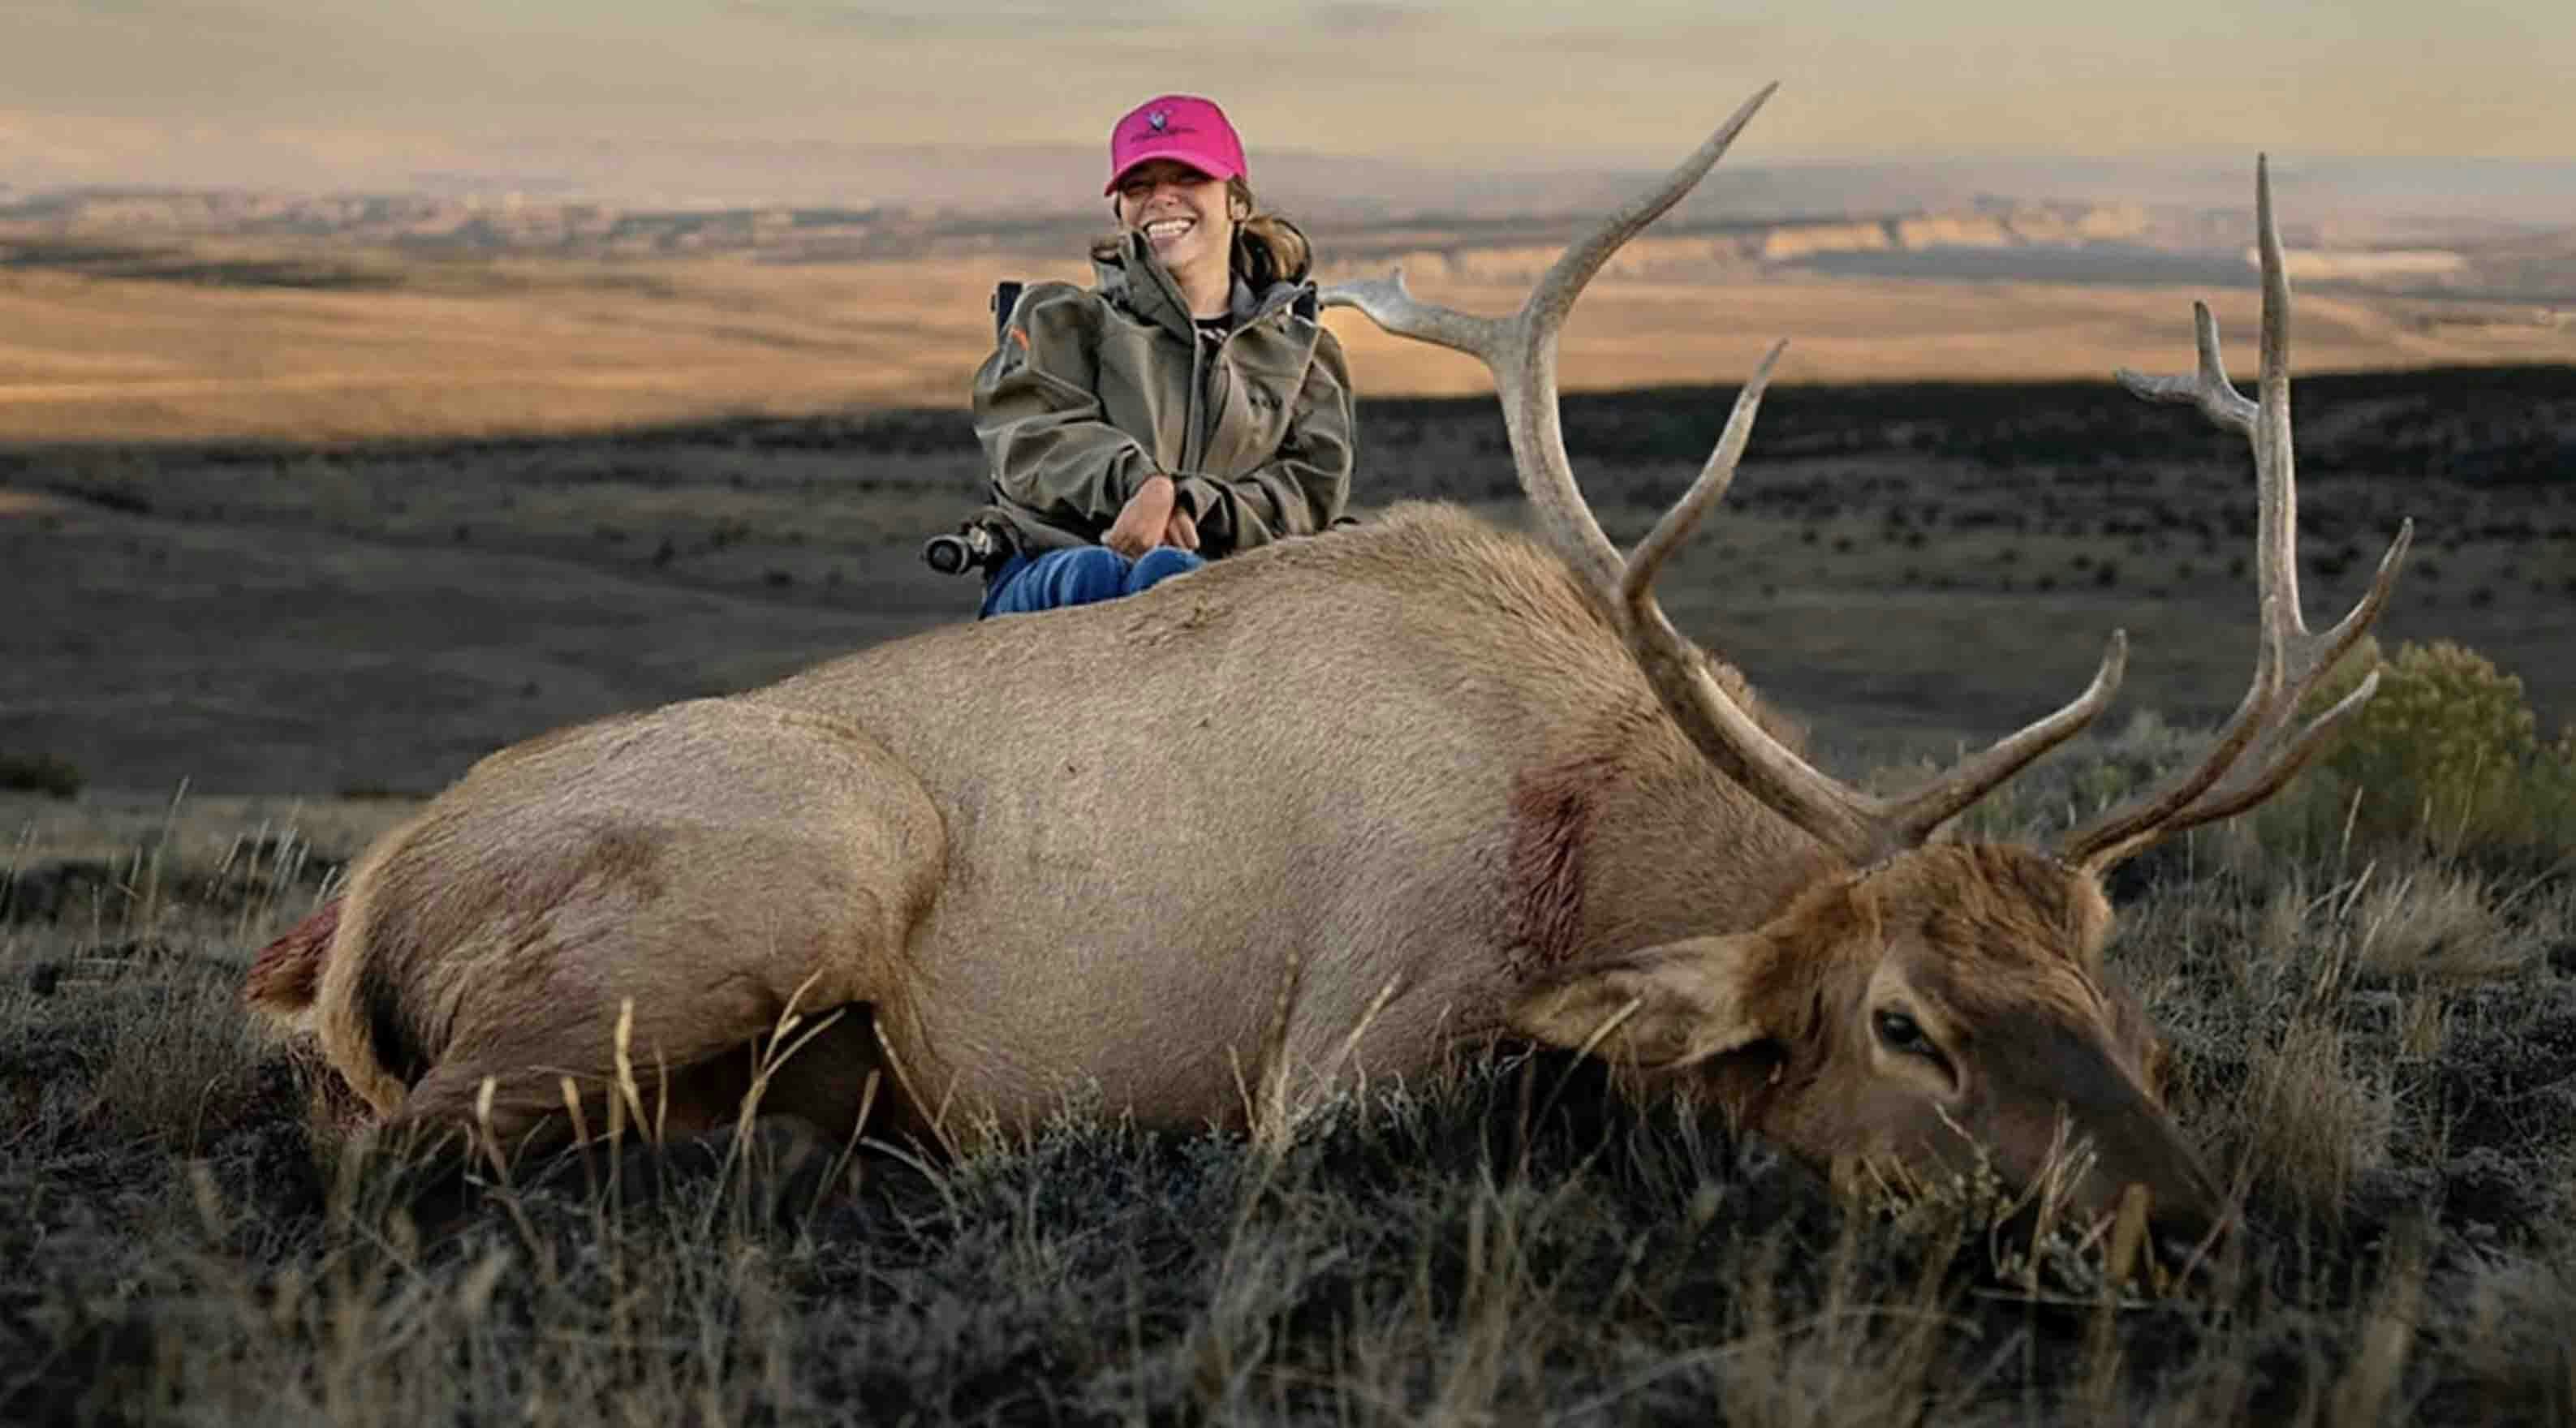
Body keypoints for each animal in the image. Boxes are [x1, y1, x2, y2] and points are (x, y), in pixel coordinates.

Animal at [251, 87, 2401, 1250]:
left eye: (2116, 1001)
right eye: (1901, 1021)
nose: (2185, 1216)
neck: (1594, 848)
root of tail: (356, 914)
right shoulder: (1344, 1061)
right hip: (788, 868)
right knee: (384, 1148)